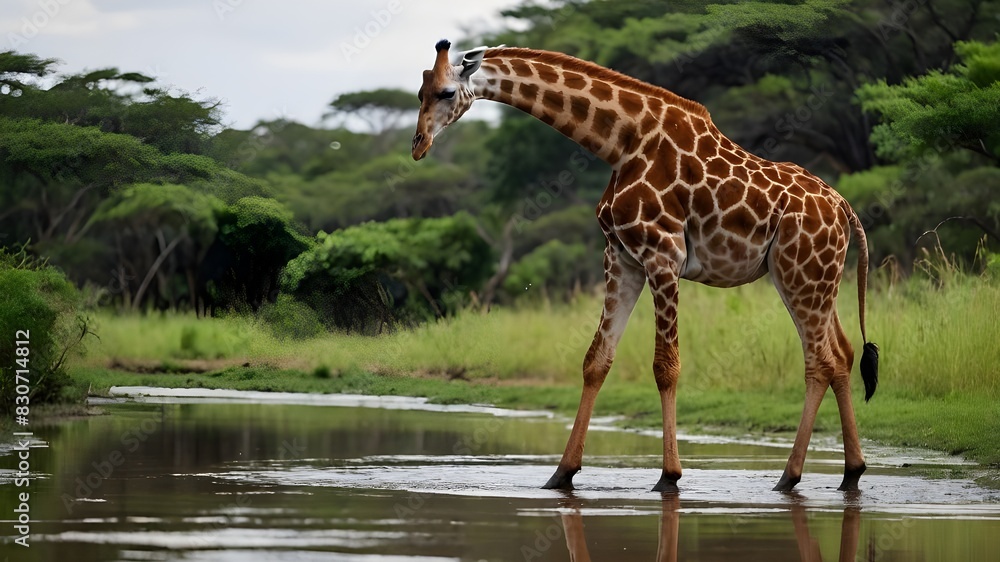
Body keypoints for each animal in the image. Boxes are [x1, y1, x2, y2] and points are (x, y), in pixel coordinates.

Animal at [412, 40, 880, 493]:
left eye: (446, 92)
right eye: (419, 92)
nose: (418, 144)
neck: (621, 143)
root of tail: (845, 208)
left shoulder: (663, 253)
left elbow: (665, 366)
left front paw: (669, 476)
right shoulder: (622, 257)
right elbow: (596, 360)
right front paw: (561, 474)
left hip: (803, 273)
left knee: (820, 359)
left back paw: (790, 476)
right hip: (808, 276)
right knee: (841, 353)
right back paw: (850, 471)